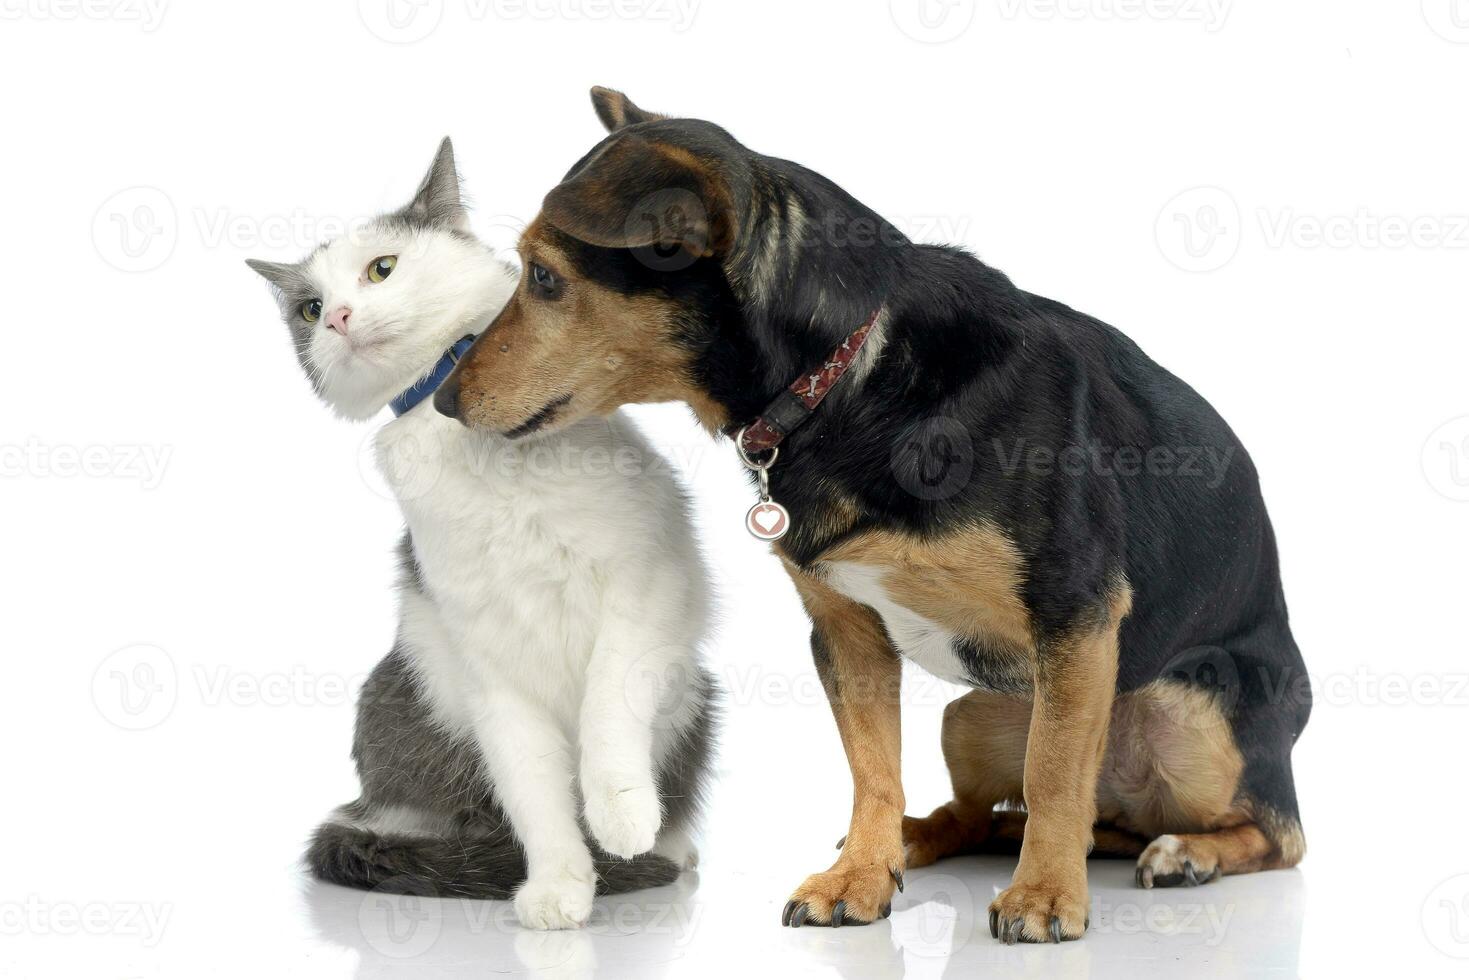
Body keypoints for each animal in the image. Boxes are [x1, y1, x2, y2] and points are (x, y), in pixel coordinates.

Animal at [248, 138, 716, 928]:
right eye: (307, 310)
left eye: (382, 268)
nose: (337, 316)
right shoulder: (486, 655)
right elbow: (530, 782)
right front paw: (561, 885)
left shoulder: (648, 578)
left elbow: (609, 702)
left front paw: (621, 816)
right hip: (407, 691)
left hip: (693, 692)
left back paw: (666, 845)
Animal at [431, 89, 1310, 940]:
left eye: (543, 278)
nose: (440, 401)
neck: (844, 377)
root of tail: (1132, 814)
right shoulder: (846, 631)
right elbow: (873, 767)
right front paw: (859, 875)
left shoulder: (1075, 609)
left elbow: (1056, 773)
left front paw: (1044, 896)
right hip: (975, 713)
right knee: (985, 811)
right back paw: (920, 840)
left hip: (1194, 714)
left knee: (1268, 830)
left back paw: (1183, 853)